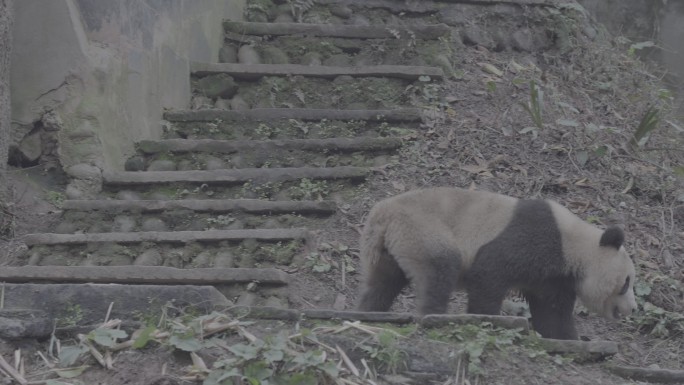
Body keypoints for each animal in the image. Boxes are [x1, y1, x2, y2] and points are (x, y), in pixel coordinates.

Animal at [356, 186, 640, 340]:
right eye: (626, 283)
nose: (634, 309)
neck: (575, 246)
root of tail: (382, 215)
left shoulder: (553, 278)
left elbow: (552, 312)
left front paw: (569, 338)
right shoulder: (533, 238)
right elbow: (488, 273)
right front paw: (486, 317)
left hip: (388, 246)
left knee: (383, 281)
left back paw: (369, 311)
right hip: (422, 227)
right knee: (440, 268)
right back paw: (433, 314)